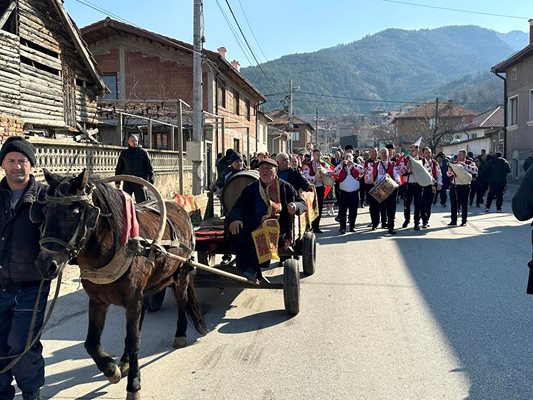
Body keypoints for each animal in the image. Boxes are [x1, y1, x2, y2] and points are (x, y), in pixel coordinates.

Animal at [32, 169, 205, 400]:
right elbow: (92, 343)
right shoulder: (98, 301)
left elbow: (133, 341)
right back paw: (123, 362)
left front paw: (133, 385)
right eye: (45, 211)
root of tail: (181, 209)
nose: (45, 264)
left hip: (181, 274)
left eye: (75, 213)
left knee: (181, 301)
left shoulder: (133, 300)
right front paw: (111, 369)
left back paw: (180, 334)